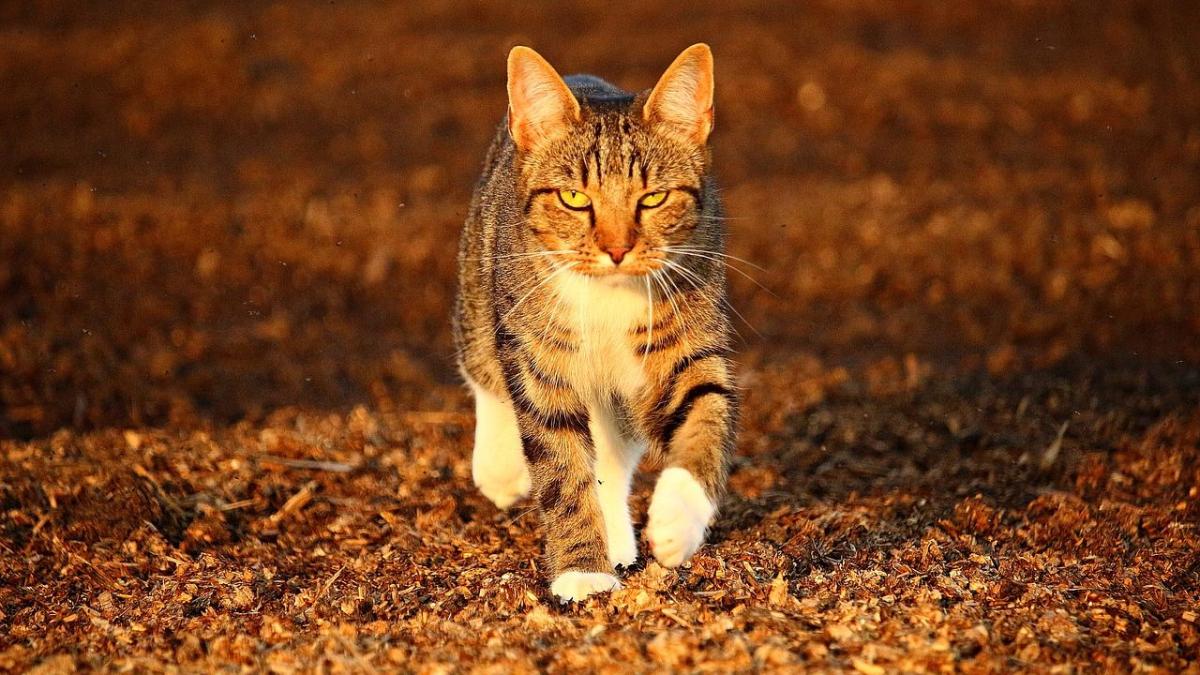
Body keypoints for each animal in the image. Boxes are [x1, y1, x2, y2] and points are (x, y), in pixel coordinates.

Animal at [451, 42, 739, 598]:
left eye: (653, 198)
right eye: (574, 198)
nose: (617, 249)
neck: (608, 295)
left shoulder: (685, 340)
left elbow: (703, 414)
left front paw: (677, 520)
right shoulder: (537, 355)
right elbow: (560, 463)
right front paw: (582, 571)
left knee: (610, 455)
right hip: (481, 274)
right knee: (483, 364)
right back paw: (501, 468)